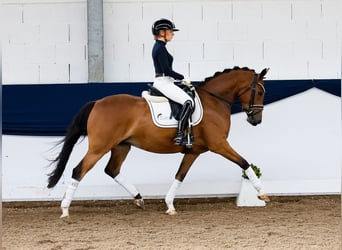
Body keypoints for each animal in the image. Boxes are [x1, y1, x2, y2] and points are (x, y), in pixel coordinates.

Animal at [47, 66, 270, 217]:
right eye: (259, 92)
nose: (256, 120)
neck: (214, 101)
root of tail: (97, 103)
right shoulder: (219, 145)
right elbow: (244, 162)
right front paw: (262, 194)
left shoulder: (193, 151)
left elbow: (180, 175)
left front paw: (170, 205)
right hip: (99, 147)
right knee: (79, 170)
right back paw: (65, 209)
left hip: (121, 146)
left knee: (112, 170)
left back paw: (139, 199)